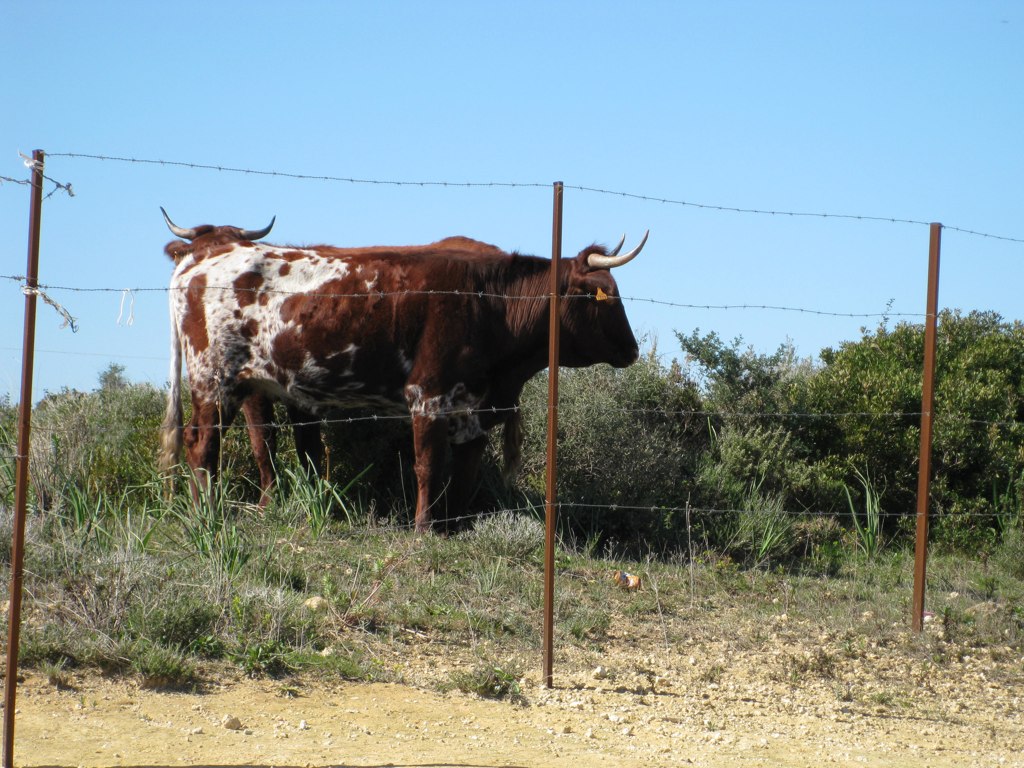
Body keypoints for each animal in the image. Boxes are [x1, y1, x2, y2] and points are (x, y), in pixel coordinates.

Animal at [155, 214, 643, 532]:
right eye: (602, 295)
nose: (634, 349)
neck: (491, 304)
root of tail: (201, 261)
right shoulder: (428, 394)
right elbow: (428, 464)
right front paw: (424, 527)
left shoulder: (474, 406)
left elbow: (465, 470)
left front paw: (456, 525)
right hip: (215, 383)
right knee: (203, 448)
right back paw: (205, 515)